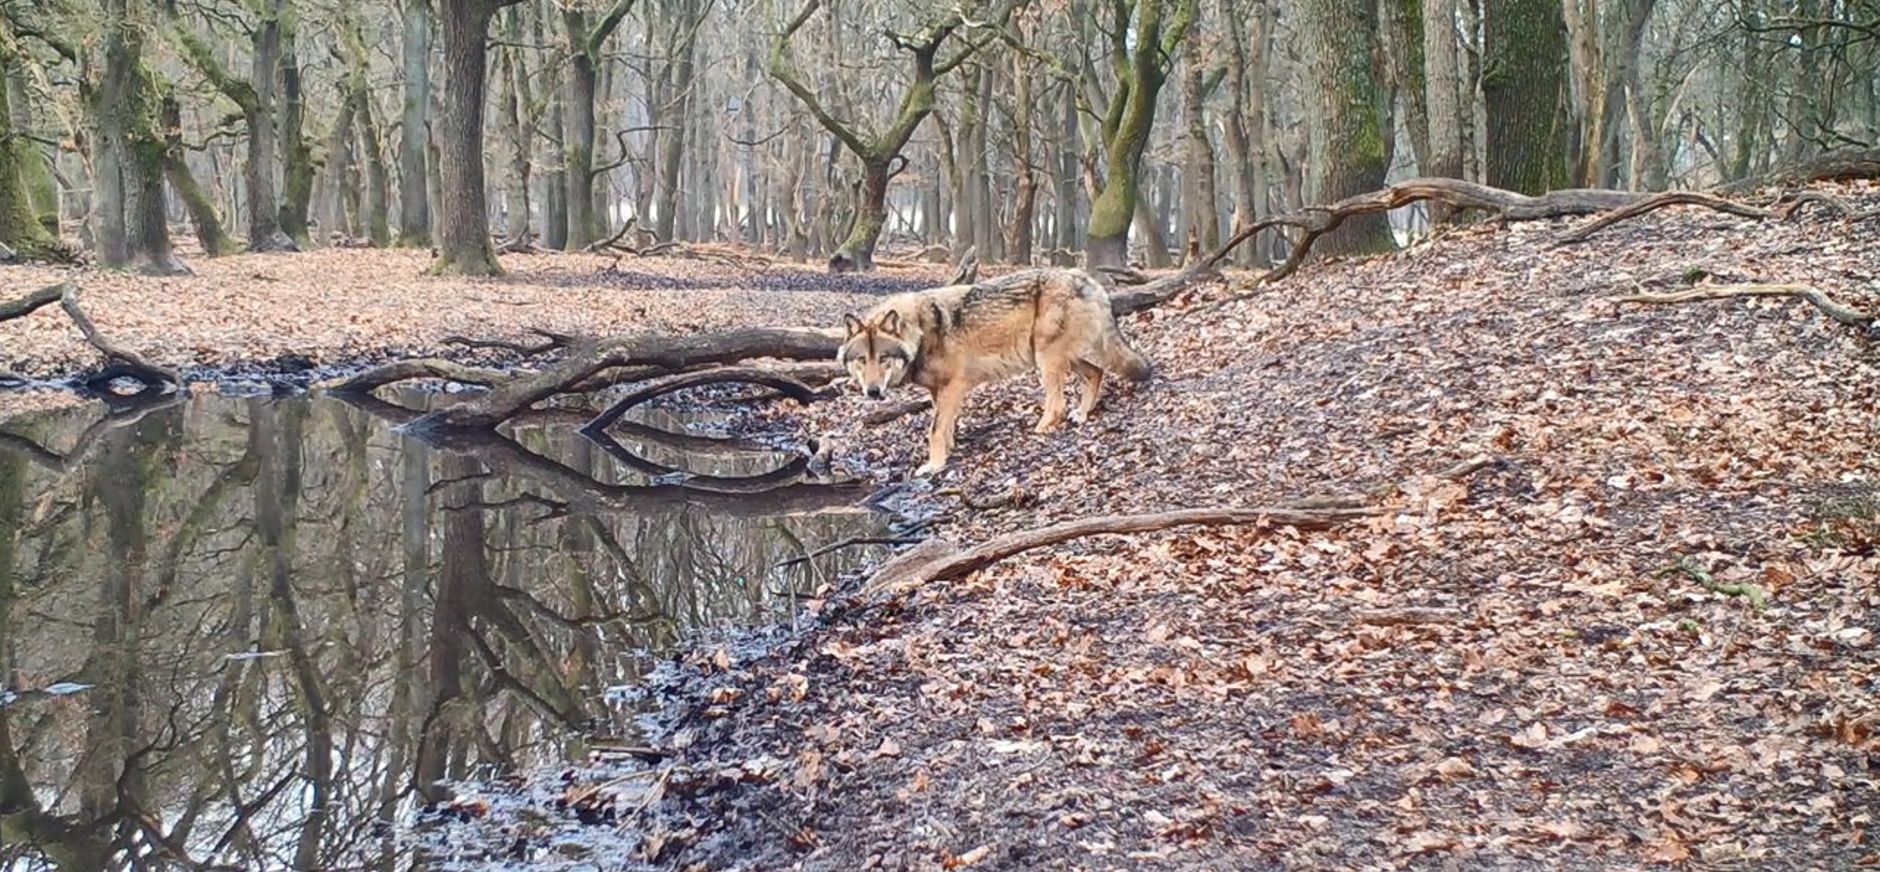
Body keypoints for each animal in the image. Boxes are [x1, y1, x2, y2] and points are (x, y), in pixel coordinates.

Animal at [838, 269, 1152, 476]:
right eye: (862, 360)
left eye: (883, 358)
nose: (873, 392)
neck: (921, 332)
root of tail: (1090, 280)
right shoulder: (940, 391)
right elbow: (946, 427)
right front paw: (949, 452)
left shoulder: (954, 386)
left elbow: (935, 430)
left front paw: (934, 466)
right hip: (1058, 358)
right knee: (1096, 373)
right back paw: (1082, 413)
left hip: (1046, 359)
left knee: (1058, 405)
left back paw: (1041, 429)